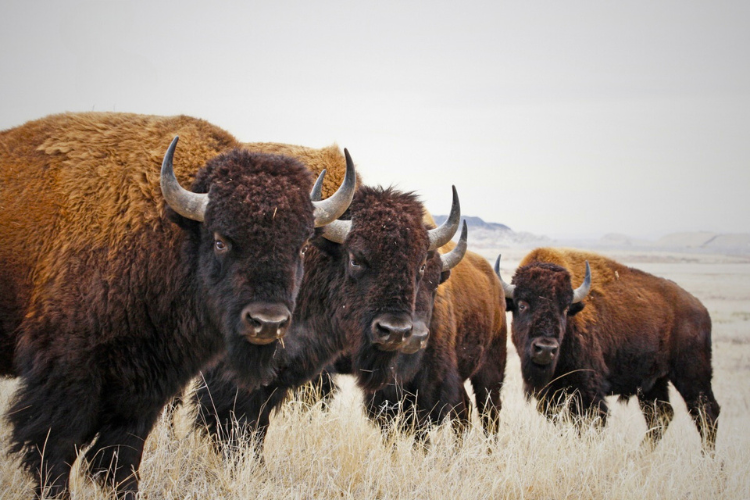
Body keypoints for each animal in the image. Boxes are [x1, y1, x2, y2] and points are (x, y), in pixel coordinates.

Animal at [0, 113, 358, 500]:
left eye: (303, 247)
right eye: (220, 241)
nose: (267, 322)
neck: (169, 233)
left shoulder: (144, 385)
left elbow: (122, 456)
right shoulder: (66, 371)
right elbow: (55, 450)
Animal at [496, 248, 720, 452]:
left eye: (565, 308)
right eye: (522, 304)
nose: (545, 349)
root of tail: (701, 309)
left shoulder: (588, 391)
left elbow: (590, 424)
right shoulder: (551, 395)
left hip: (692, 375)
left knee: (706, 412)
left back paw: (708, 459)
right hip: (654, 382)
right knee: (661, 414)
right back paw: (642, 453)